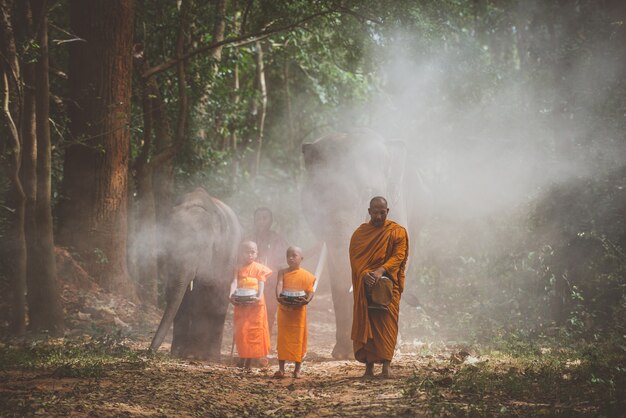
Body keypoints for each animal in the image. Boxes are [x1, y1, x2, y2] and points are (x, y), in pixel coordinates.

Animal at [149, 188, 241, 358]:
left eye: (201, 248)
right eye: (167, 245)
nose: (149, 351)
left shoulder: (221, 252)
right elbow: (182, 297)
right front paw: (178, 353)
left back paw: (208, 356)